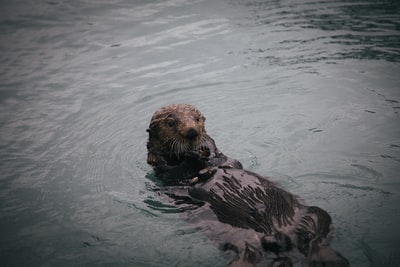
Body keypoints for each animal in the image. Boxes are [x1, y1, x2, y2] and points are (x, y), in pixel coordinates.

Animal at [145, 103, 348, 266]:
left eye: (196, 119)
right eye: (171, 123)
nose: (192, 132)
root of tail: (281, 237)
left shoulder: (222, 156)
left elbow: (224, 158)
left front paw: (204, 148)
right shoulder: (162, 170)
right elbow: (175, 173)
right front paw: (192, 158)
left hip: (314, 214)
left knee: (315, 237)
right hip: (243, 243)